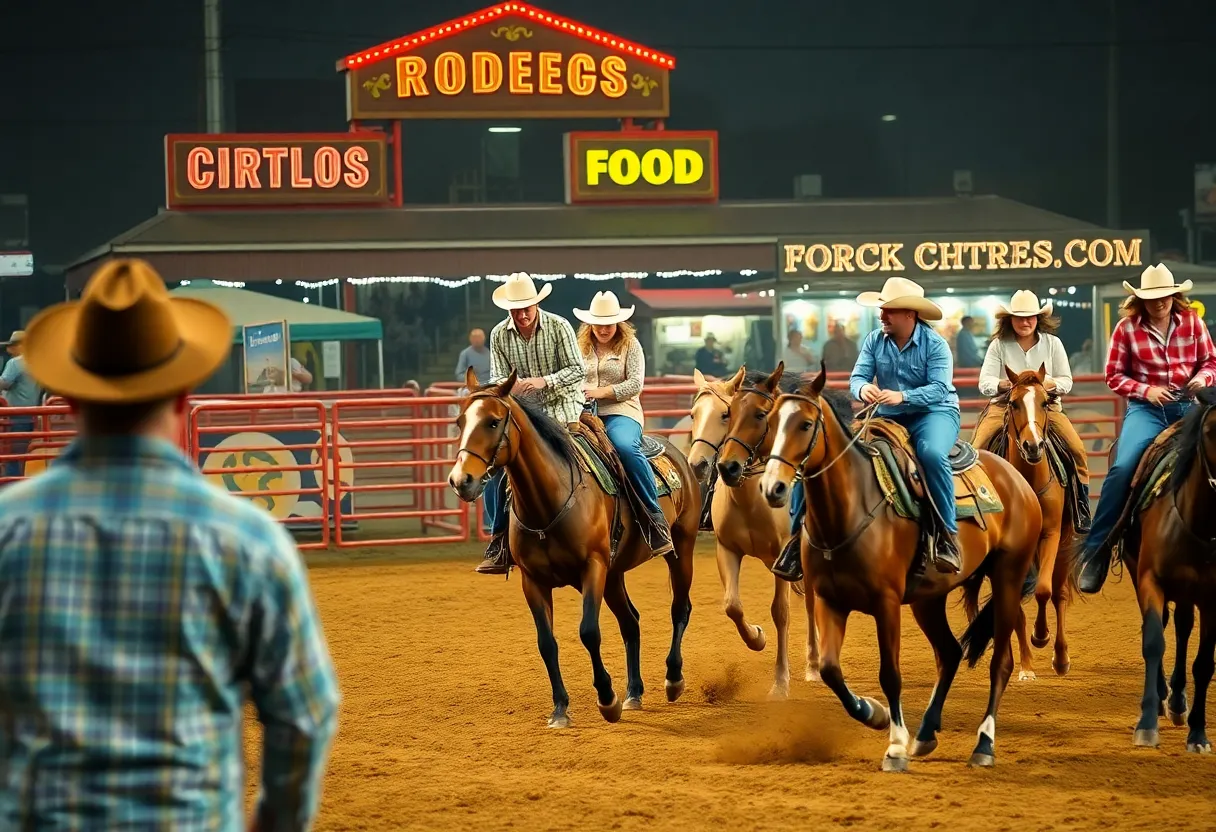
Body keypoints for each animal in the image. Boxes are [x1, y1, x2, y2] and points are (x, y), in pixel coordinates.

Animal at [447, 369, 700, 729]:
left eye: (494, 422)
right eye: (460, 421)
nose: (461, 480)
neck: (548, 503)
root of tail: (676, 453)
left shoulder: (592, 568)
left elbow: (589, 632)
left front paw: (607, 699)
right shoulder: (533, 581)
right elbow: (546, 643)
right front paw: (560, 710)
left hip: (681, 548)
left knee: (679, 608)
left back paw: (673, 679)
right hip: (615, 574)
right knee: (630, 622)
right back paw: (634, 693)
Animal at [690, 367, 822, 700]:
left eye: (724, 414)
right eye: (693, 414)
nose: (698, 464)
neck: (750, 498)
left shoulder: (781, 557)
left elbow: (781, 613)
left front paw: (780, 683)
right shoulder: (727, 550)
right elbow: (732, 606)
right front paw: (757, 638)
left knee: (812, 602)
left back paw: (814, 665)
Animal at [753, 374, 1040, 768]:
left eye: (806, 424)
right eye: (770, 422)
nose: (773, 487)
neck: (849, 511)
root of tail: (1016, 479)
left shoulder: (886, 604)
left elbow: (890, 674)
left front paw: (895, 746)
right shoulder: (830, 600)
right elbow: (829, 669)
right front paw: (874, 714)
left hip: (1008, 578)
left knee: (1001, 663)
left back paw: (983, 745)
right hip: (928, 599)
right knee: (950, 653)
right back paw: (926, 734)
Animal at [992, 367, 1079, 681]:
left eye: (1044, 402)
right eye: (1013, 403)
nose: (1032, 446)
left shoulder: (1051, 534)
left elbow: (1044, 590)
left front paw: (1041, 636)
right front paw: (1026, 663)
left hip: (1065, 543)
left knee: (1060, 594)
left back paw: (1062, 658)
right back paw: (1027, 666)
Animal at [1108, 386, 1216, 749]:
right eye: (1210, 430)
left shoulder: (1213, 599)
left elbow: (1204, 662)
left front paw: (1198, 734)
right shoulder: (1149, 581)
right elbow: (1153, 641)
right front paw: (1146, 722)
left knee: (1183, 628)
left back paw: (1179, 702)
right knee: (1165, 625)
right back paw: (1164, 696)